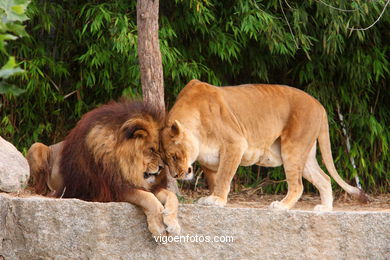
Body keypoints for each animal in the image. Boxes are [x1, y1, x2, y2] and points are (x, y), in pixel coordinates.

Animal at [27, 99, 181, 236]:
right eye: (151, 149)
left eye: (161, 151)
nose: (161, 167)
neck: (126, 165)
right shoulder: (112, 189)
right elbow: (147, 197)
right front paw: (159, 225)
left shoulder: (145, 184)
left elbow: (172, 195)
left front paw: (172, 222)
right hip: (36, 146)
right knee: (38, 187)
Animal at [160, 79, 368, 211]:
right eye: (166, 161)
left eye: (174, 156)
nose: (176, 175)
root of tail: (320, 106)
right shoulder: (209, 161)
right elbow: (214, 180)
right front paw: (212, 197)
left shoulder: (235, 143)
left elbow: (224, 176)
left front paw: (217, 200)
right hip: (306, 154)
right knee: (324, 178)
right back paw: (324, 209)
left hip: (292, 149)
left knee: (298, 185)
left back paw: (282, 206)